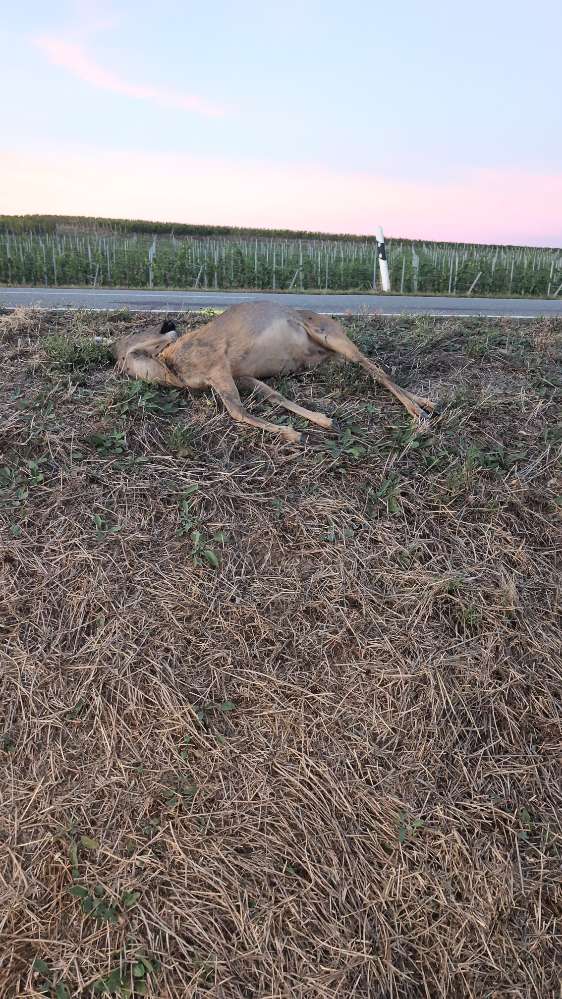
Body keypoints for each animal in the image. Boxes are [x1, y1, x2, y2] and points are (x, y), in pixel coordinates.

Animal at [111, 301, 434, 444]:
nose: (168, 323)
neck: (173, 367)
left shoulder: (218, 365)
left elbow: (238, 411)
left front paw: (292, 433)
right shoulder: (239, 375)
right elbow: (275, 396)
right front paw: (322, 421)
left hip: (331, 336)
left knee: (377, 369)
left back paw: (419, 414)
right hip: (330, 355)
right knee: (372, 368)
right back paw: (427, 402)